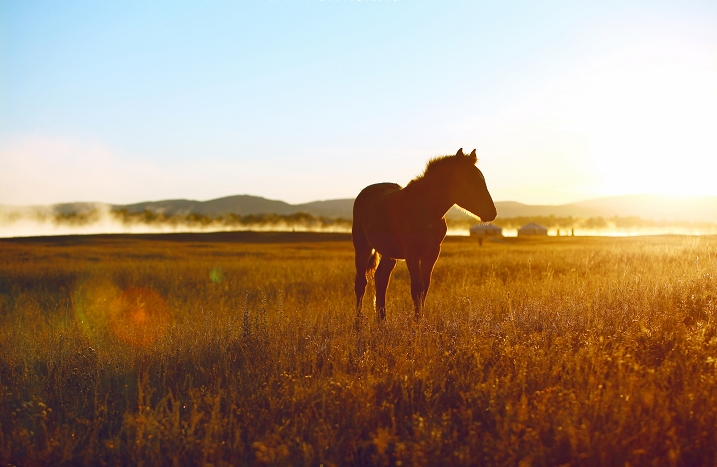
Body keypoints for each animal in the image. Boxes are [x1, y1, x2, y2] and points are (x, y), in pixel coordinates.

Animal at [350, 149, 496, 322]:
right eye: (469, 181)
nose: (492, 213)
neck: (426, 208)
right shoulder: (412, 253)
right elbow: (417, 288)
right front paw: (417, 323)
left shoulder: (432, 252)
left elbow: (425, 287)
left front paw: (421, 321)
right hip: (362, 246)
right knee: (361, 283)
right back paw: (358, 322)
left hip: (388, 252)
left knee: (381, 279)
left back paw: (382, 320)